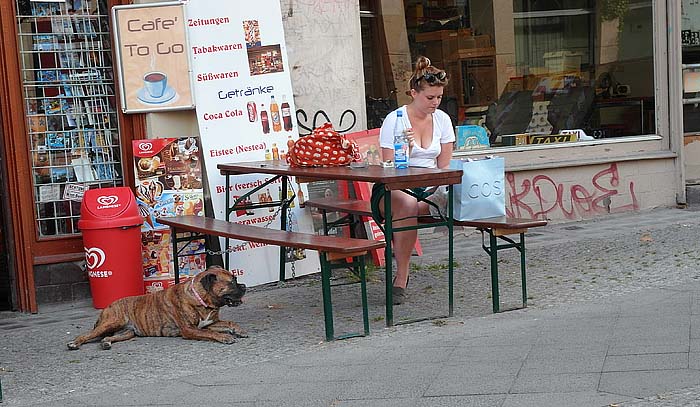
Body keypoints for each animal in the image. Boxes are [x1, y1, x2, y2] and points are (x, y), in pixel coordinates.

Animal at [66, 264, 246, 350]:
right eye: (231, 282)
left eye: (235, 278)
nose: (244, 286)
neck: (202, 298)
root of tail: (108, 307)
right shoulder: (190, 329)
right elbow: (208, 333)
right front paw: (224, 337)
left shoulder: (210, 322)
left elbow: (228, 323)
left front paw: (238, 330)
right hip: (112, 322)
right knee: (86, 335)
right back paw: (74, 343)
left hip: (126, 332)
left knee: (107, 337)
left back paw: (106, 343)